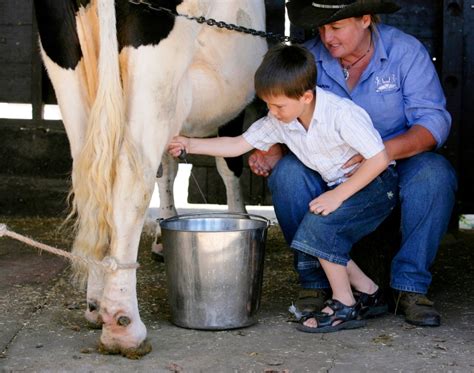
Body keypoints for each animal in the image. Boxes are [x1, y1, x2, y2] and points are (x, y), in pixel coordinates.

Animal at [34, 0, 266, 356]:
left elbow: (167, 169)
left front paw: (163, 233)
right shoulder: (232, 110)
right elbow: (229, 164)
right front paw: (238, 216)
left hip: (67, 68)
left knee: (90, 181)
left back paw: (95, 303)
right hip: (156, 80)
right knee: (131, 182)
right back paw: (123, 325)